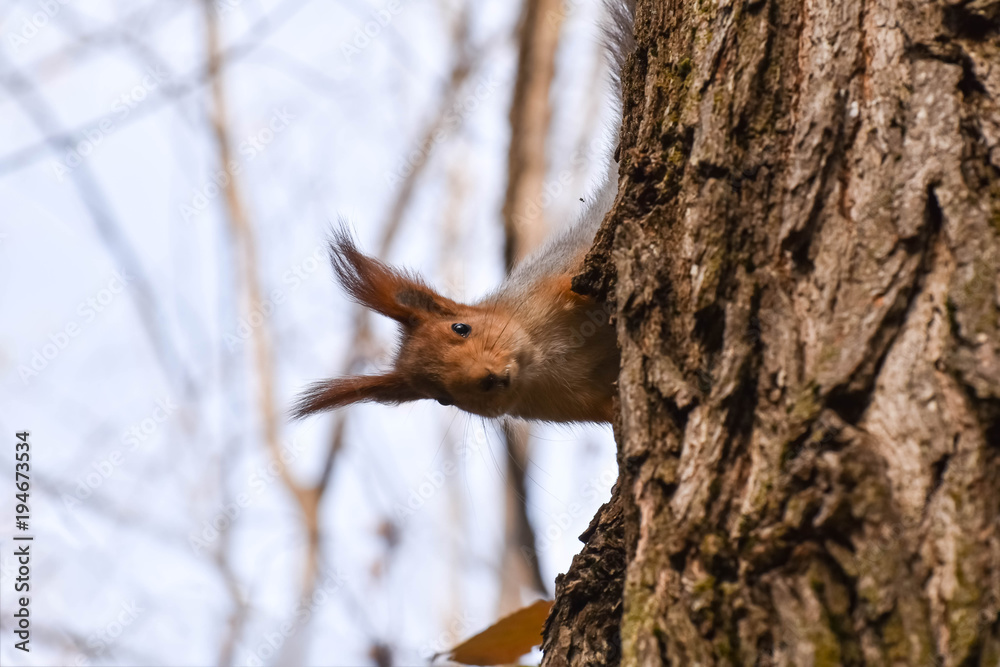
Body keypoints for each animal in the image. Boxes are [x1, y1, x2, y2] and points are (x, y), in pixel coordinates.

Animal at [292, 0, 632, 426]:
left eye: (461, 327)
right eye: (440, 398)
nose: (486, 379)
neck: (542, 357)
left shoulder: (554, 285)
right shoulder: (573, 404)